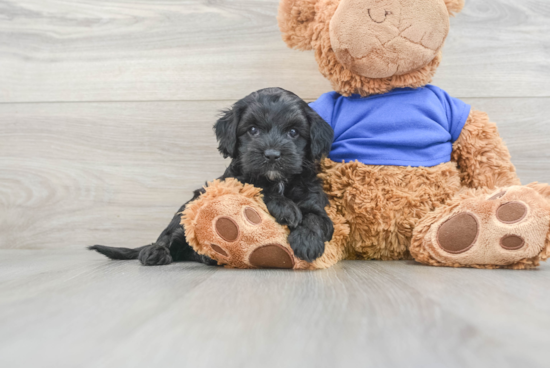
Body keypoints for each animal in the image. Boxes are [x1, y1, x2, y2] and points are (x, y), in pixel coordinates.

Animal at [89, 89, 336, 266]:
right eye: (253, 130)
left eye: (293, 132)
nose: (272, 154)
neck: (278, 180)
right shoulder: (234, 184)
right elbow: (257, 190)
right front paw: (286, 208)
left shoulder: (316, 202)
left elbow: (316, 219)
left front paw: (307, 242)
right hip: (187, 211)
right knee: (170, 236)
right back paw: (155, 252)